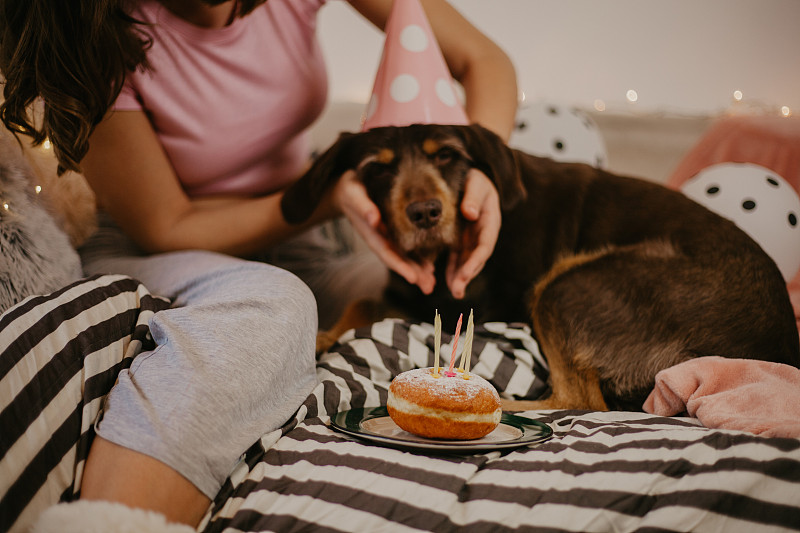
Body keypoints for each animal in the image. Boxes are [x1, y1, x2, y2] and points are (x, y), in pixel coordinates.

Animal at [282, 123, 800, 412]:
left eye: (447, 156)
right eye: (377, 168)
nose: (425, 213)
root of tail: (770, 352)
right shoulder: (407, 292)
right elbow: (362, 300)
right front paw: (326, 334)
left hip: (566, 284)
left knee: (580, 402)